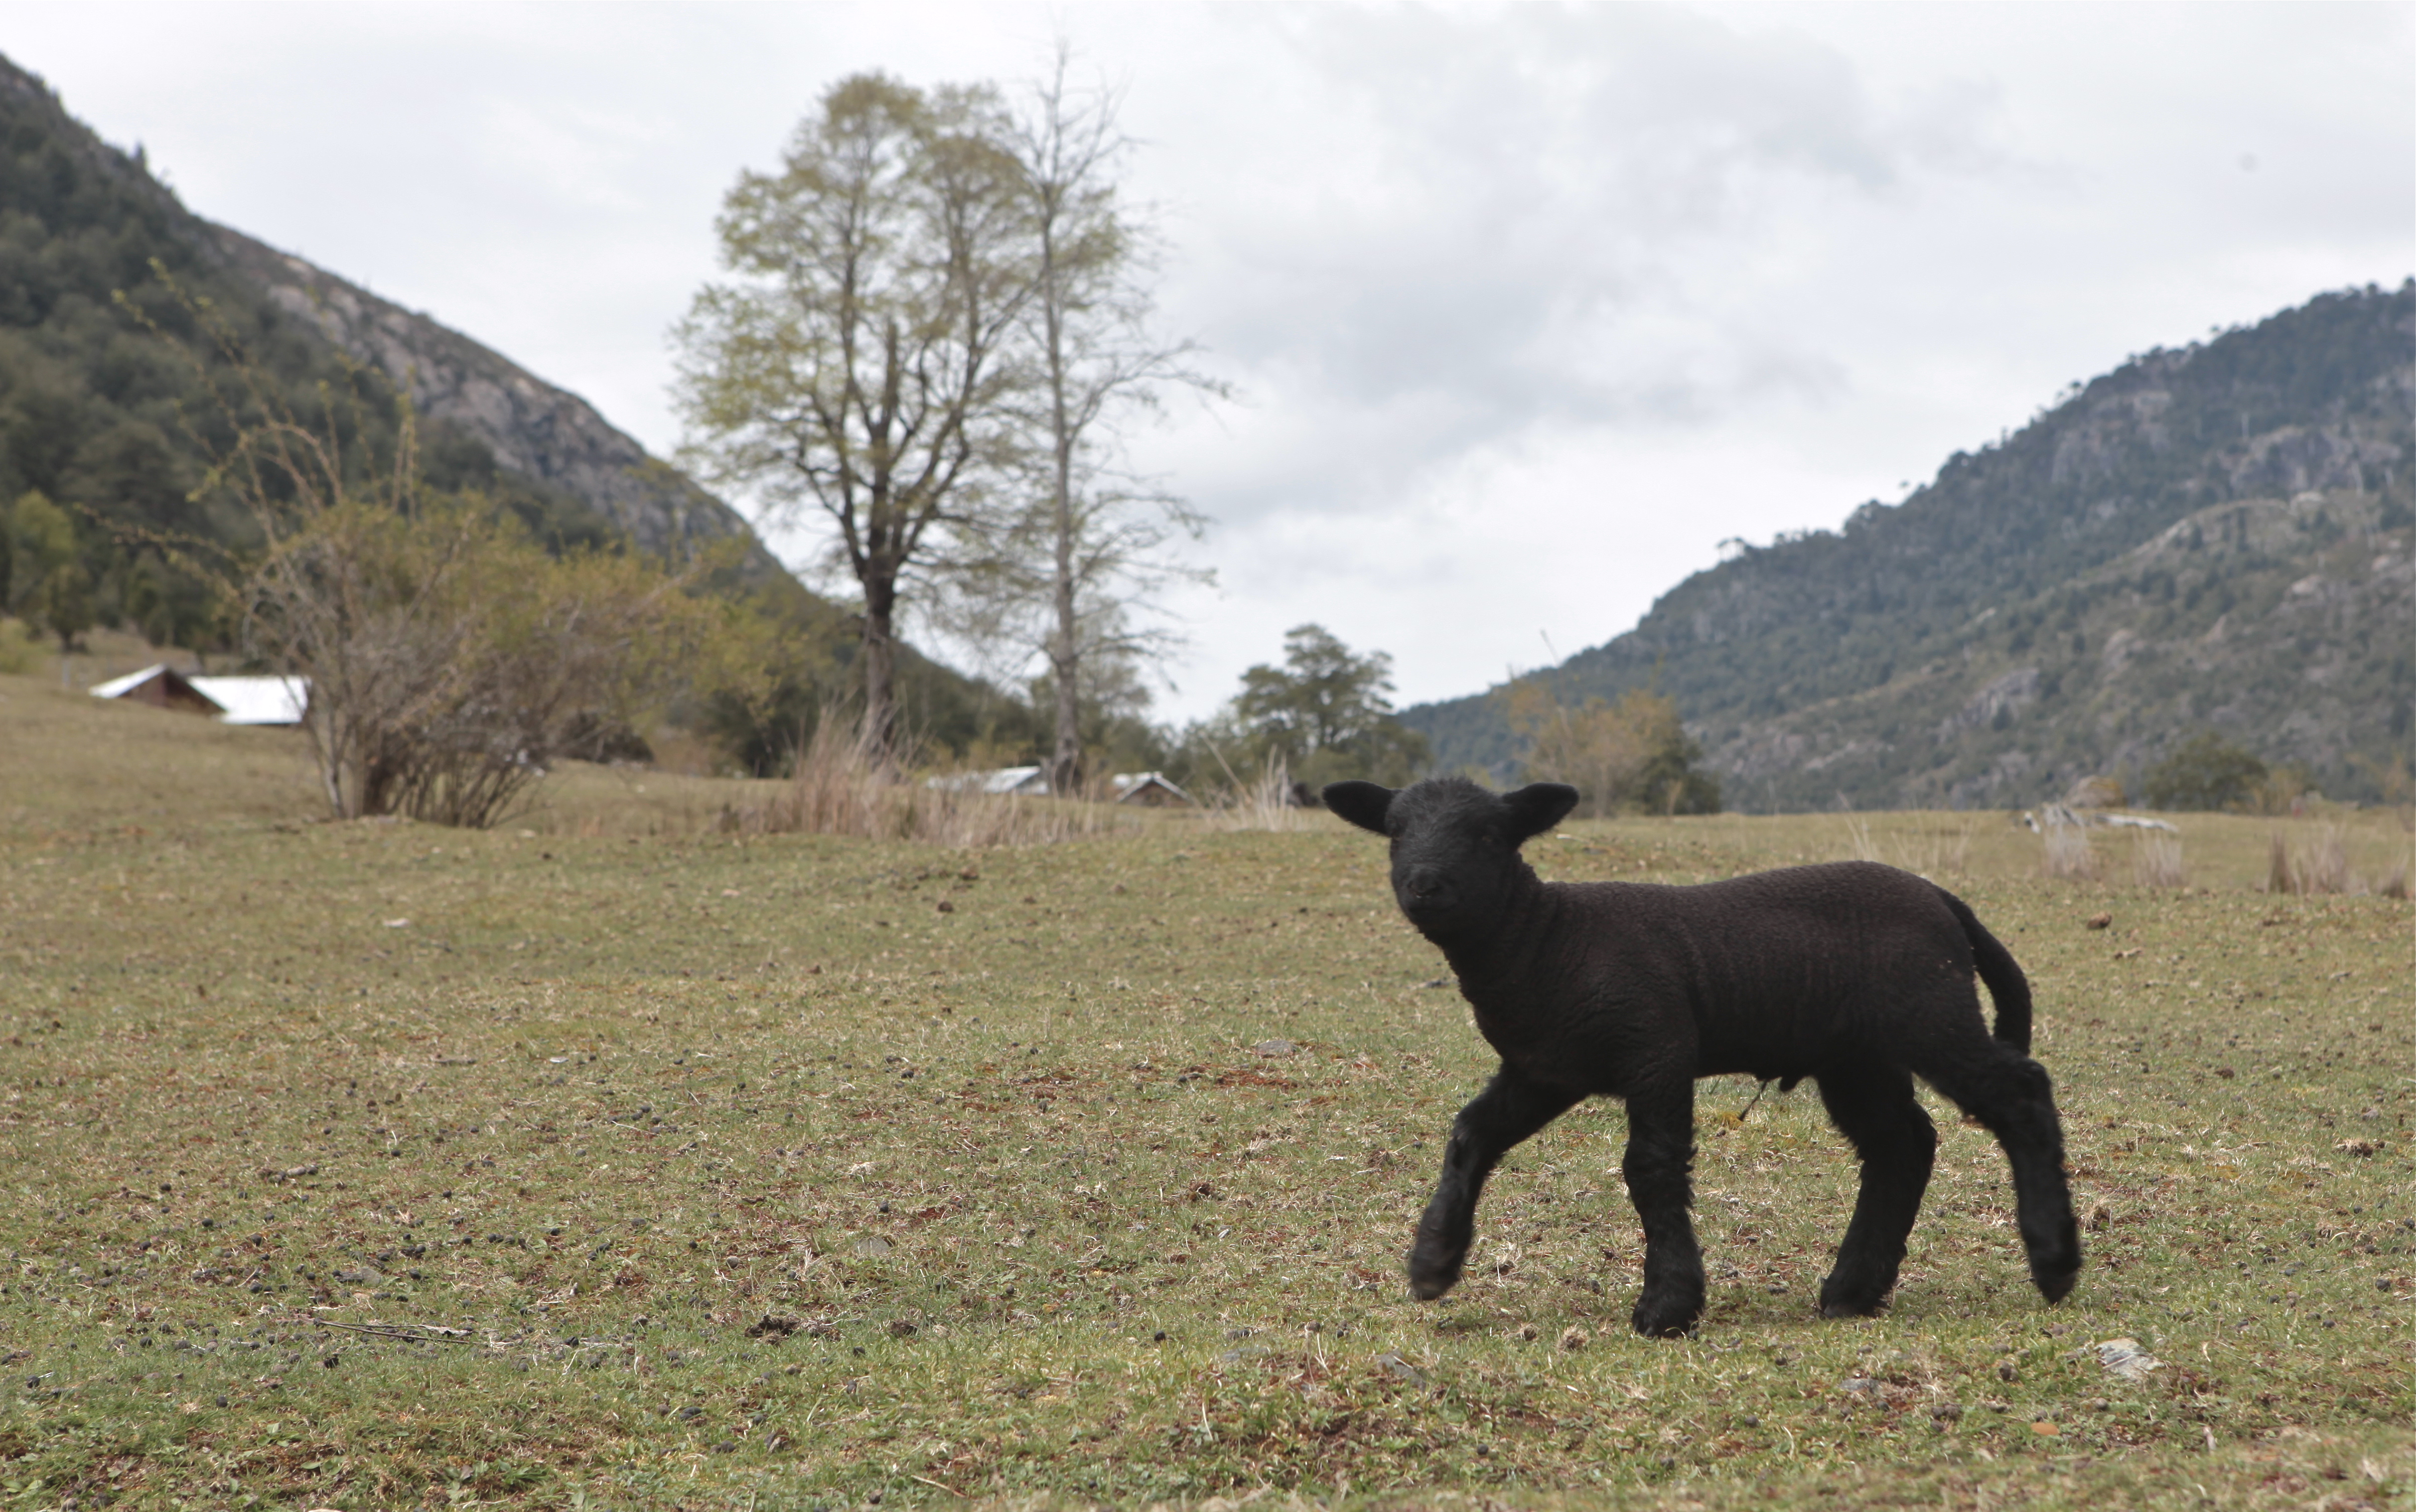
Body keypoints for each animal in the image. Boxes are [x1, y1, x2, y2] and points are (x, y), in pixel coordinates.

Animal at [1324, 775, 2081, 1338]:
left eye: (1487, 835)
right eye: (1395, 832)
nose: (1425, 884)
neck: (1547, 942)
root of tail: (1946, 901)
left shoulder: (1656, 1045)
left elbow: (1651, 1167)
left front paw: (1667, 1305)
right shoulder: (1545, 1069)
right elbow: (1471, 1134)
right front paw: (1433, 1260)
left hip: (1929, 1013)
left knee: (2019, 1092)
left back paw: (2054, 1262)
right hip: (1855, 1053)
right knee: (1902, 1143)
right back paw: (1852, 1289)